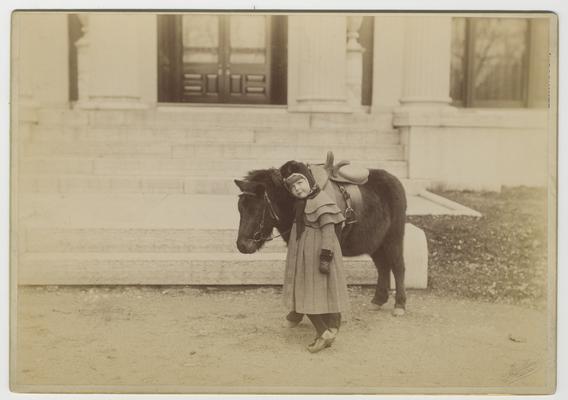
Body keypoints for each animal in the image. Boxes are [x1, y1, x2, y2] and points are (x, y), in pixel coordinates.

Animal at [234, 166, 408, 316]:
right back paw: (378, 300)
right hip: (376, 243)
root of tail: (394, 181)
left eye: (257, 209)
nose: (242, 245)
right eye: (240, 208)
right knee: (383, 267)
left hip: (393, 238)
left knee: (398, 267)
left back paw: (400, 305)